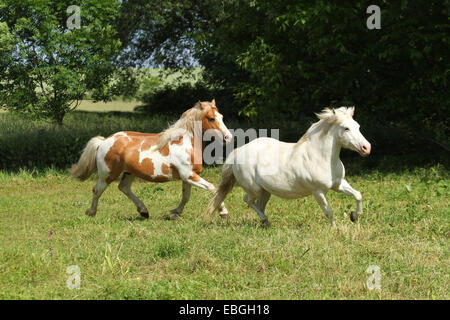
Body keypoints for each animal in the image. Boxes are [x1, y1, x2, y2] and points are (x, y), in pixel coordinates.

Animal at [71, 100, 232, 220]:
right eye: (211, 118)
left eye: (222, 116)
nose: (228, 138)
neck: (185, 142)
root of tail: (104, 140)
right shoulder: (188, 175)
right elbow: (212, 188)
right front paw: (224, 213)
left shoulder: (188, 177)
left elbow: (186, 197)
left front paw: (175, 213)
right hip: (107, 174)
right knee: (97, 190)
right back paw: (91, 212)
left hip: (129, 173)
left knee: (123, 188)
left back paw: (143, 211)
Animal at [207, 107, 372, 228]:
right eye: (346, 128)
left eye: (358, 126)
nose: (367, 148)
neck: (321, 157)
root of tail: (237, 152)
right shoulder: (318, 191)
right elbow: (328, 211)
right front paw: (335, 229)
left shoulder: (338, 184)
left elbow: (358, 195)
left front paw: (354, 216)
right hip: (254, 188)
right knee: (247, 200)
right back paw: (264, 219)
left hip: (266, 191)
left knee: (259, 204)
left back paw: (265, 223)